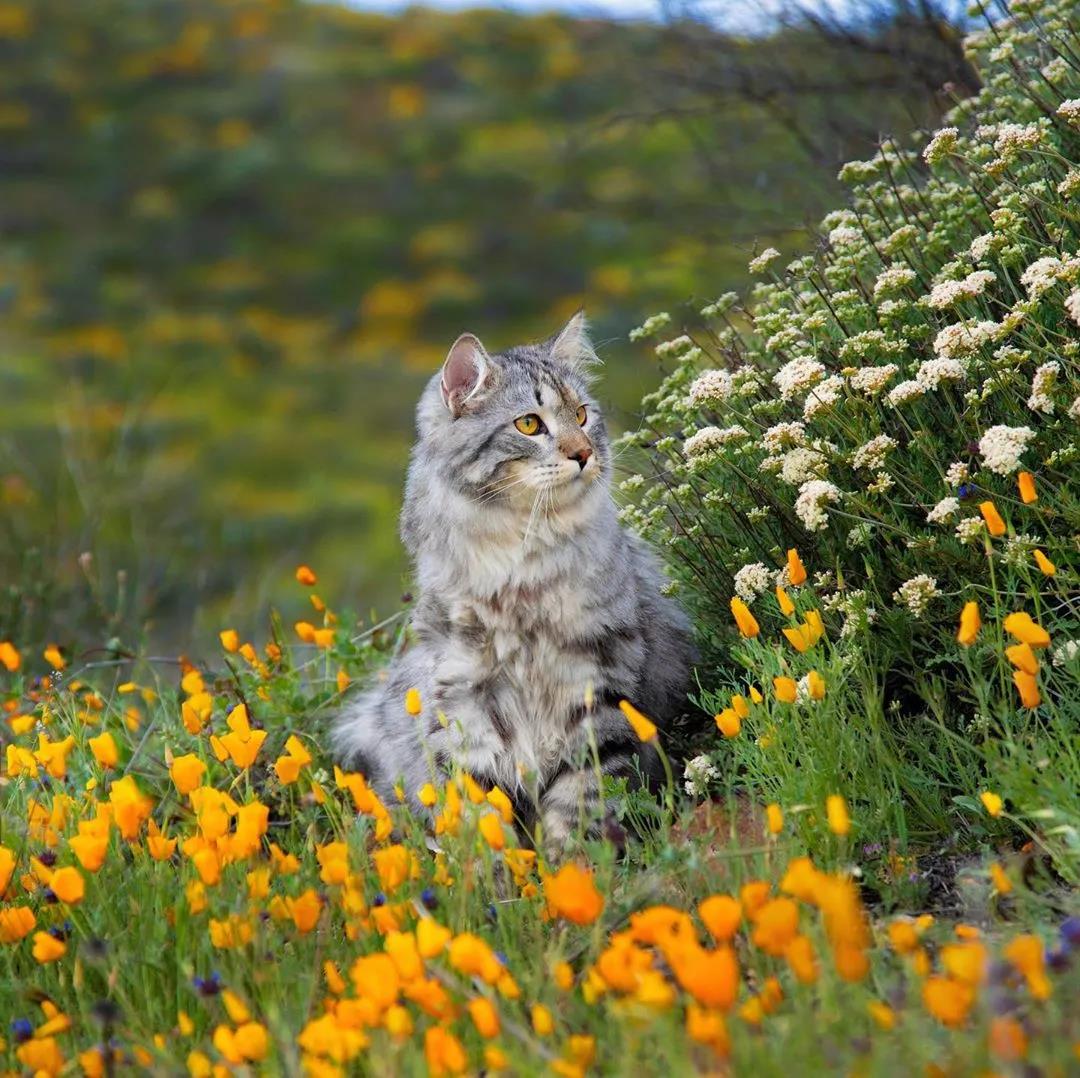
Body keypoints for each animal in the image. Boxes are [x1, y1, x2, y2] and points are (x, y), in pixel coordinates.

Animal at [332, 313, 695, 842]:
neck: (523, 561)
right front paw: (502, 865)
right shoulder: (466, 695)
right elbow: (483, 816)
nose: (584, 453)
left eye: (581, 415)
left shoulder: (597, 682)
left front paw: (577, 862)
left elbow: (580, 803)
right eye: (529, 424)